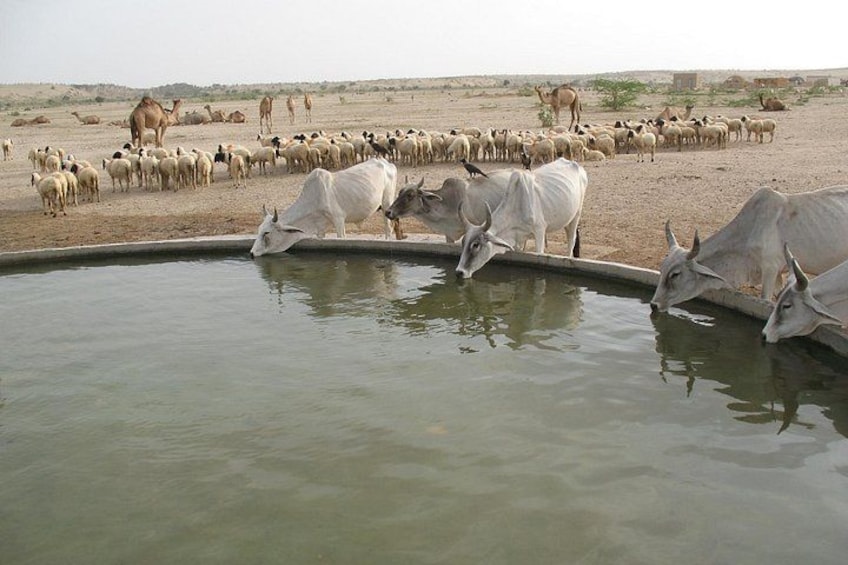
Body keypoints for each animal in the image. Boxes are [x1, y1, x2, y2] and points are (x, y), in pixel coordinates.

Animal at [250, 157, 398, 257]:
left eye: (266, 233)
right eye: (258, 230)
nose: (251, 253)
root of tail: (386, 163)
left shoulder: (339, 220)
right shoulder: (320, 228)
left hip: (386, 205)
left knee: (388, 228)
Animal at [455, 157, 587, 279]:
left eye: (476, 245)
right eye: (463, 242)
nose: (459, 272)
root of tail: (575, 165)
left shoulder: (539, 231)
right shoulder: (519, 239)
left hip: (576, 215)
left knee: (571, 240)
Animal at [650, 185, 848, 313]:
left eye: (675, 274)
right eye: (661, 268)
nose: (654, 305)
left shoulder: (770, 269)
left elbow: (765, 300)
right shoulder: (778, 273)